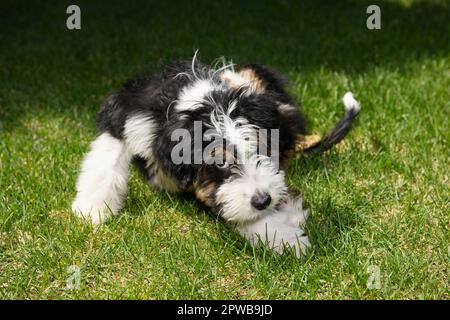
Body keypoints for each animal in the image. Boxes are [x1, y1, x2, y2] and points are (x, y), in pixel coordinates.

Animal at [71, 53, 358, 256]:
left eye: (260, 149)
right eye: (219, 162)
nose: (263, 200)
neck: (202, 103)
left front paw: (283, 237)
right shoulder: (127, 112)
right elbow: (106, 158)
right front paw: (91, 210)